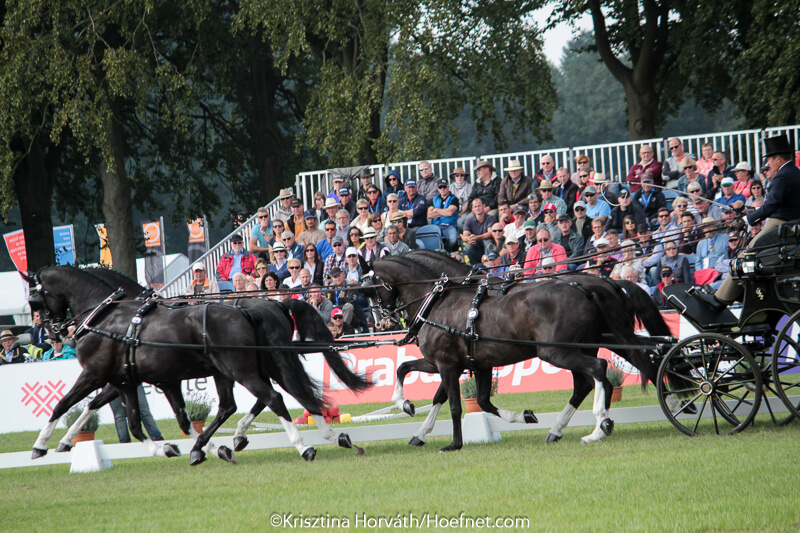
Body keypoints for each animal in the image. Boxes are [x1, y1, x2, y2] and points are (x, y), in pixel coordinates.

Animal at [26, 265, 369, 464]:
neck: (105, 317)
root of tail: (258, 307)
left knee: (273, 398)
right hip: (249, 368)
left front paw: (41, 445)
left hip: (240, 369)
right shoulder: (139, 381)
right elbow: (164, 420)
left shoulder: (96, 374)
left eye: (34, 299)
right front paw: (187, 447)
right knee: (268, 399)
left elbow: (65, 404)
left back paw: (302, 446)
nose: (54, 332)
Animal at [362, 253, 659, 451]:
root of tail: (592, 288)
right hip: (591, 345)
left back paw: (598, 427)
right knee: (604, 376)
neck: (439, 300)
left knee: (598, 370)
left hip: (558, 352)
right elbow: (471, 399)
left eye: (369, 290)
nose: (381, 323)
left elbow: (453, 404)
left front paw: (452, 442)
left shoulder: (446, 364)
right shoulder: (468, 364)